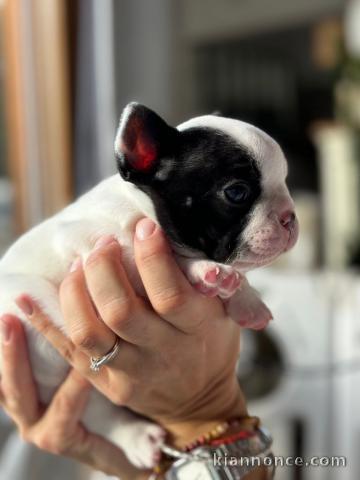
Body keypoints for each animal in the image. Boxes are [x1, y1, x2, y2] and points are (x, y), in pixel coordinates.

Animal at [0, 103, 298, 466]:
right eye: (237, 192)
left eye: (285, 181)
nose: (290, 216)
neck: (140, 208)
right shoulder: (95, 244)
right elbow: (168, 257)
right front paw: (204, 270)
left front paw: (247, 300)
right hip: (43, 352)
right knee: (97, 412)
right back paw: (137, 437)